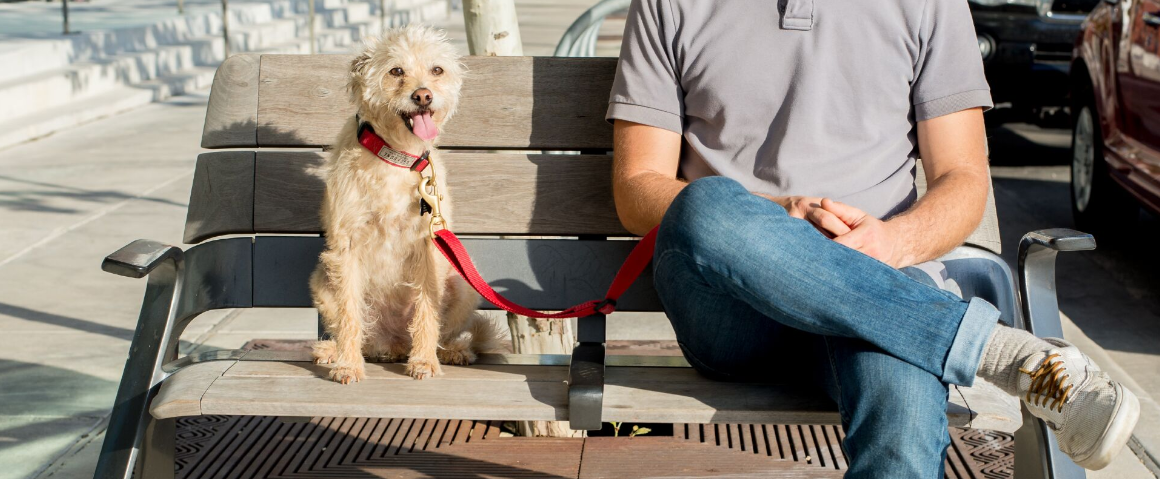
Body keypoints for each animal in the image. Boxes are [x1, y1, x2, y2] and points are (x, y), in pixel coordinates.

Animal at [310, 27, 496, 385]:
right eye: (396, 71)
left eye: (437, 70)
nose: (423, 96)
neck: (396, 157)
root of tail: (391, 342)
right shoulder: (346, 247)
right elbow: (350, 314)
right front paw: (348, 365)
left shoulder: (429, 247)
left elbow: (427, 309)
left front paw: (423, 361)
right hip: (323, 278)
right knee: (356, 329)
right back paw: (333, 351)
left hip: (463, 284)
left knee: (442, 332)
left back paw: (451, 351)